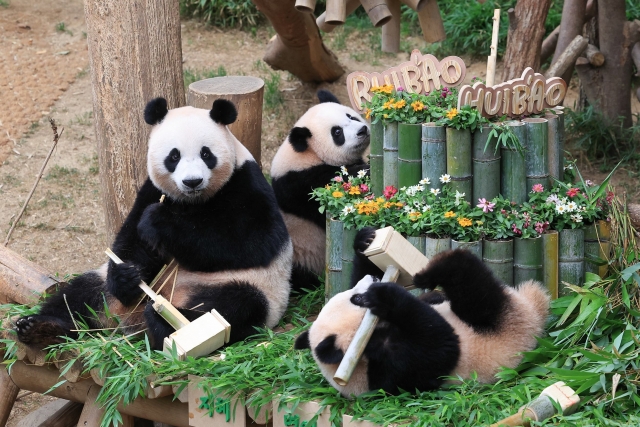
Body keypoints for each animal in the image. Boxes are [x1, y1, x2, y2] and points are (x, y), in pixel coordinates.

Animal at [16, 98, 292, 352]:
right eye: (174, 156)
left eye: (206, 154)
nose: (192, 181)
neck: (193, 201)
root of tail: (132, 320)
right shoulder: (152, 190)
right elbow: (131, 239)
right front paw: (126, 277)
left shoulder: (245, 182)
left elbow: (253, 240)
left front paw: (159, 222)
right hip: (103, 288)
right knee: (79, 296)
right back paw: (39, 328)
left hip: (253, 288)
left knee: (237, 306)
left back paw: (166, 321)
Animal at [296, 227, 552, 398]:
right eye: (356, 300)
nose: (372, 280)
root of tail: (533, 313)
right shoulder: (396, 367)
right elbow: (442, 346)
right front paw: (384, 297)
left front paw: (364, 241)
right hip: (503, 325)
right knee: (474, 288)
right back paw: (438, 268)